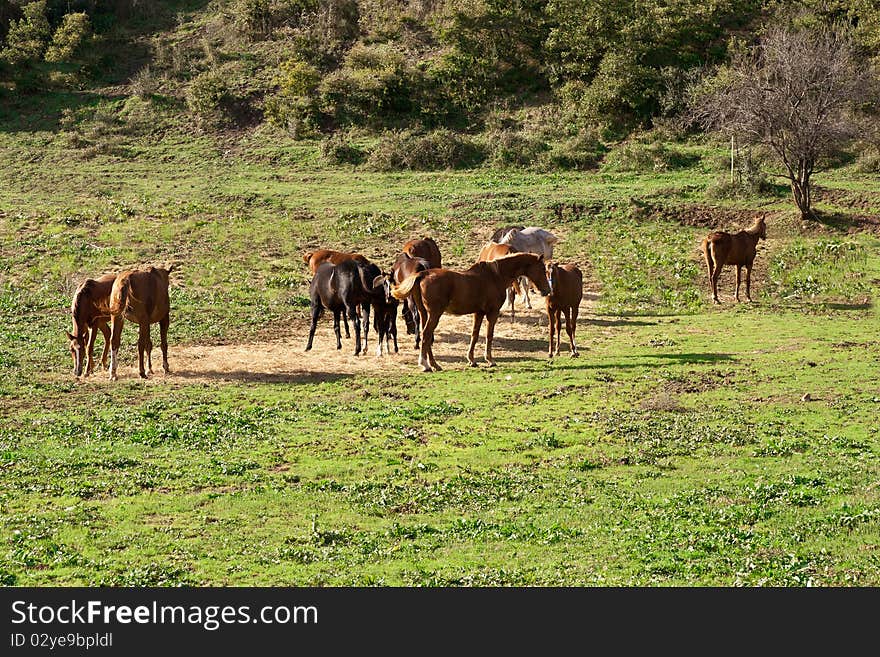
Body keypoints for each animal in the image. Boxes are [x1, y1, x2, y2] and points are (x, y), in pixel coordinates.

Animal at [392, 251, 552, 372]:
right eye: (542, 269)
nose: (547, 290)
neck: (495, 276)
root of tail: (423, 274)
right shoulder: (492, 312)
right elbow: (489, 335)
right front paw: (490, 360)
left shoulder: (479, 313)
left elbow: (474, 335)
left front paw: (472, 360)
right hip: (435, 314)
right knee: (426, 334)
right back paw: (425, 365)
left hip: (425, 313)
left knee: (427, 335)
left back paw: (434, 364)